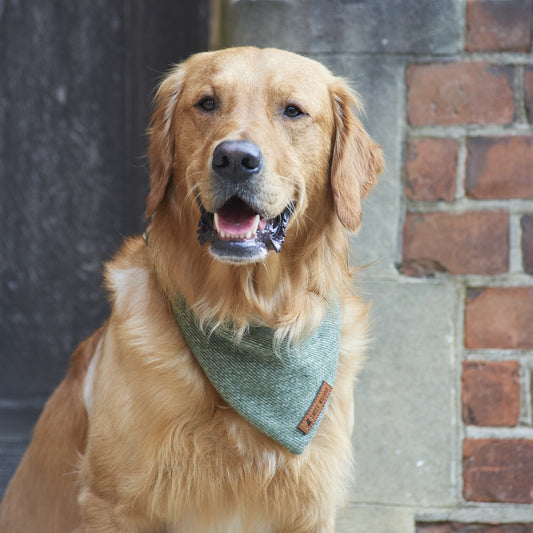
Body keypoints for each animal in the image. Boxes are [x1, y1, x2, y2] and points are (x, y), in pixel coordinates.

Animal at [0, 47, 382, 528]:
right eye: (207, 103)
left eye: (293, 111)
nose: (235, 158)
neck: (243, 318)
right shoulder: (113, 501)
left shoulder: (310, 508)